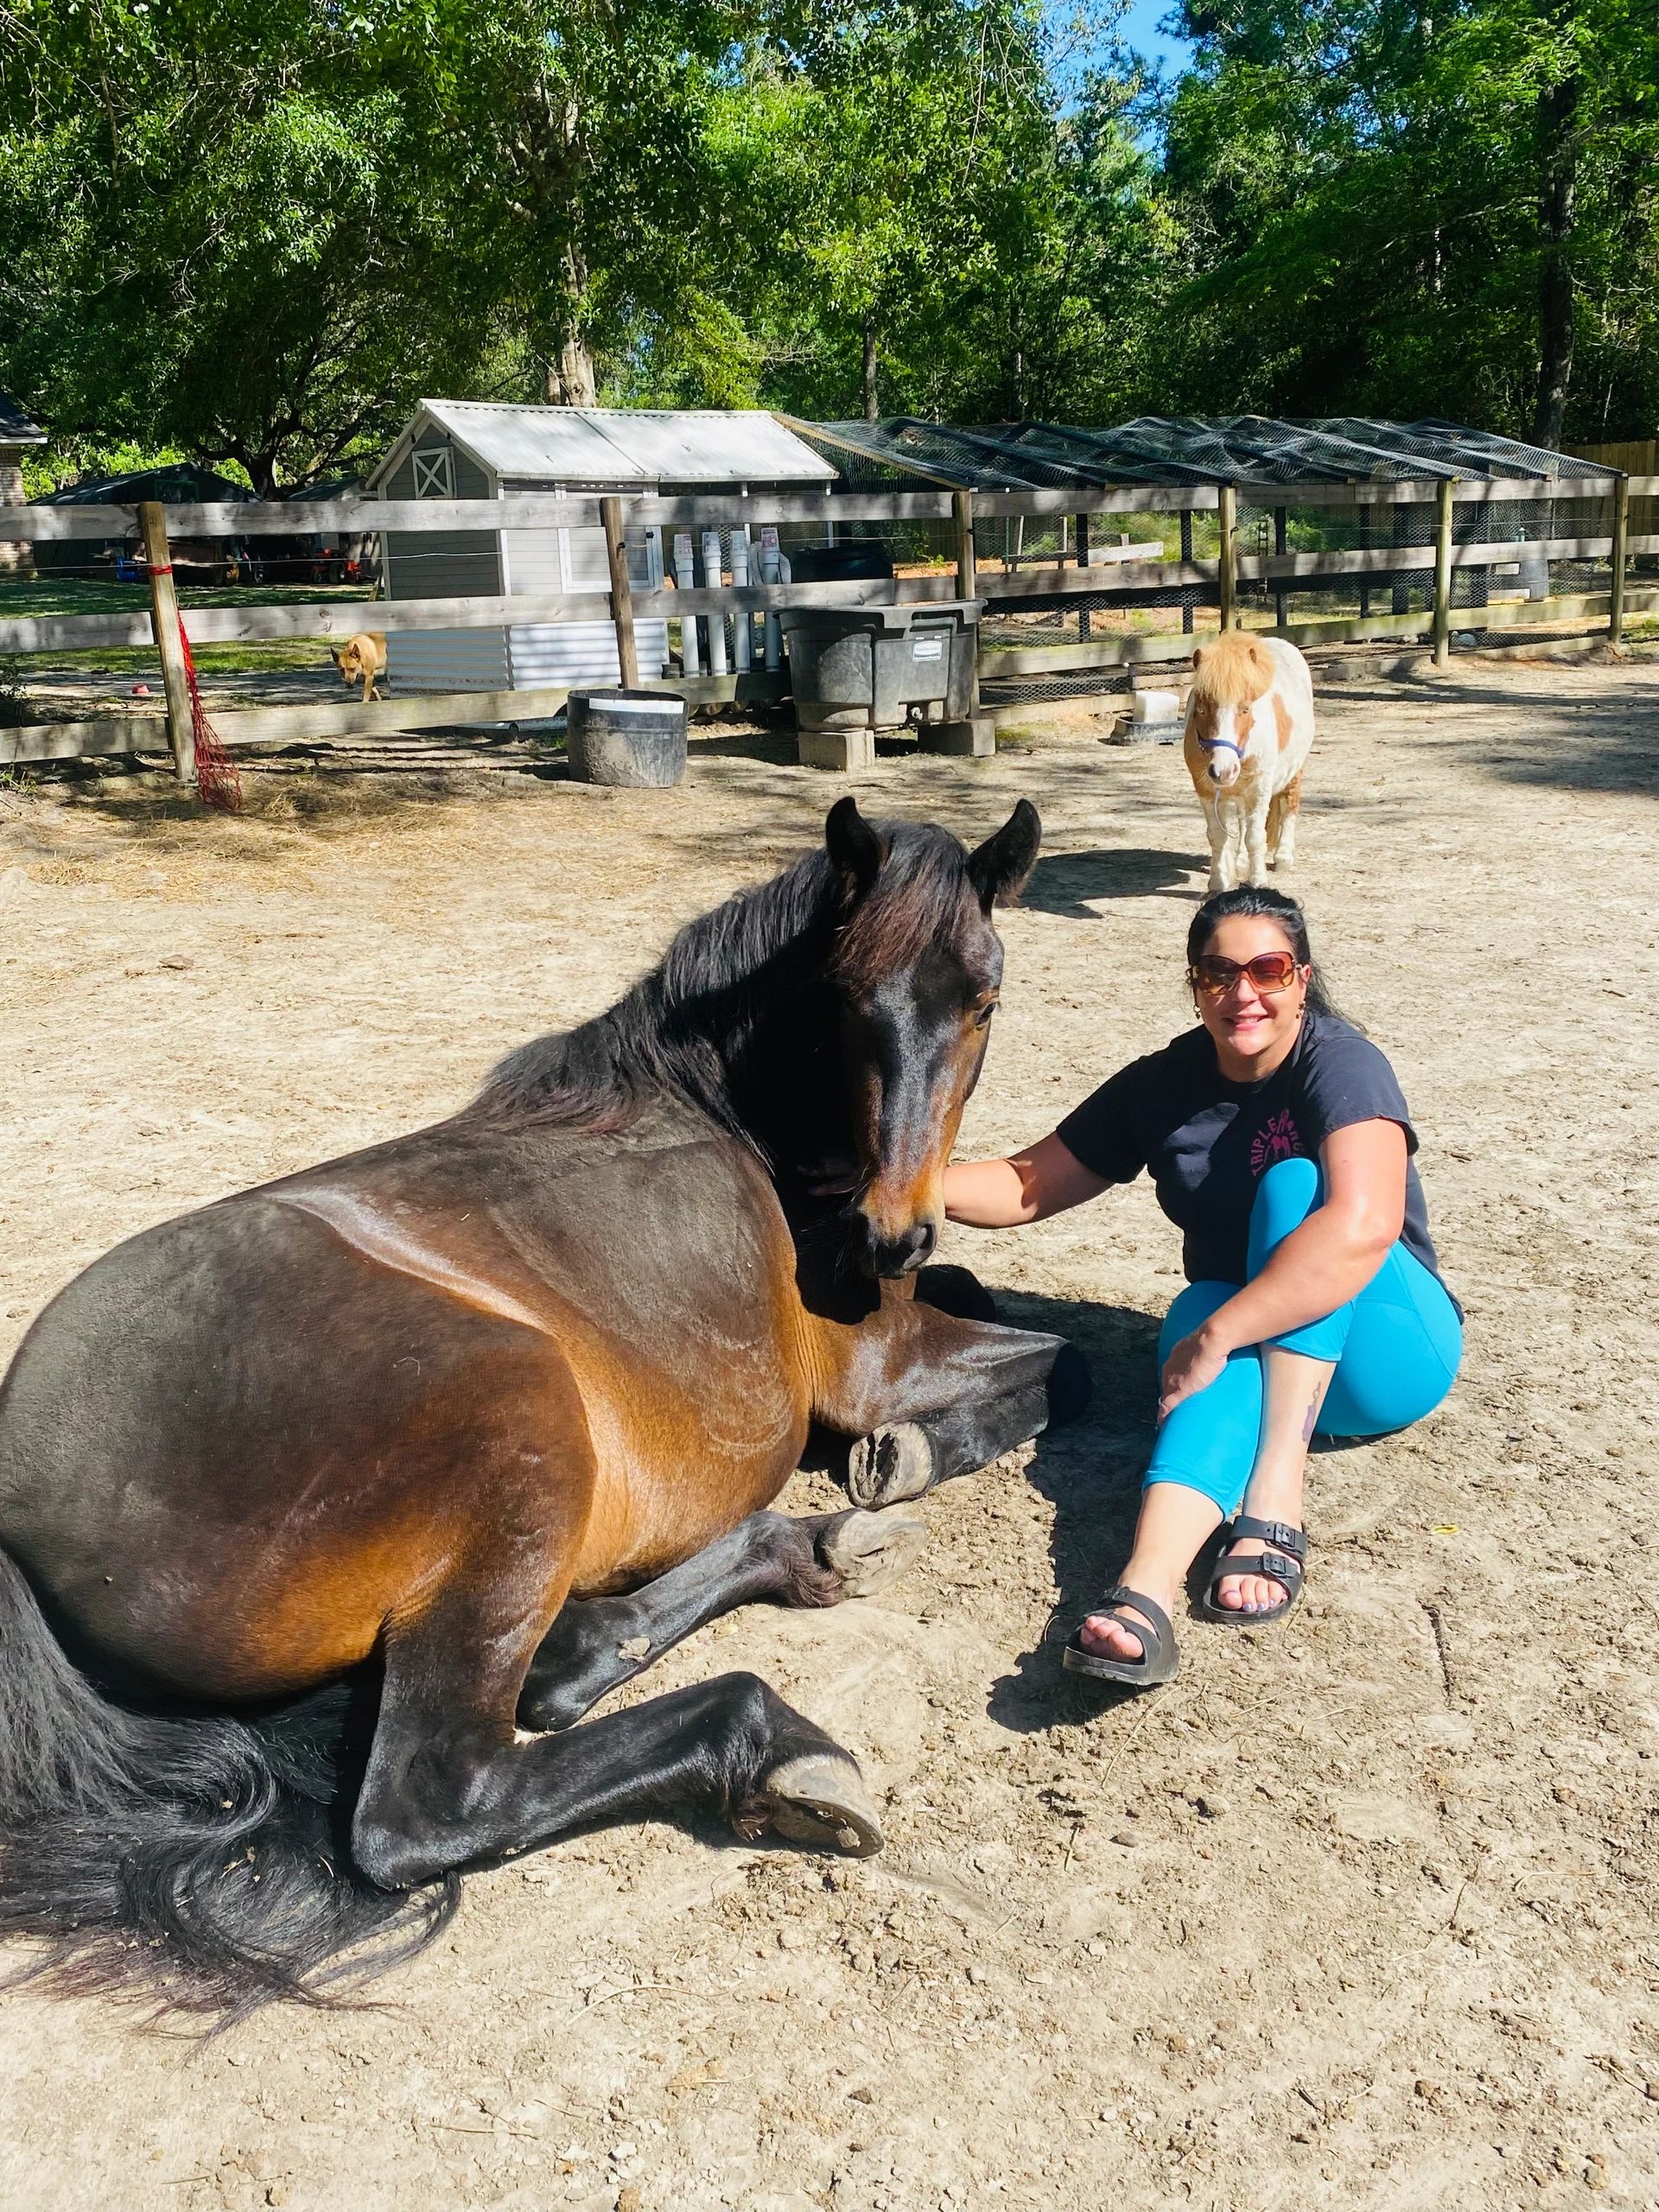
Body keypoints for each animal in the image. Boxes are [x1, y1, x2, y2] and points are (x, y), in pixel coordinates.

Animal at [0, 796, 1083, 2016]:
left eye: (984, 999)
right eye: (849, 999)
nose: (891, 1237)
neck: (728, 1113)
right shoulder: (884, 1363)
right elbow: (1071, 1362)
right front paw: (908, 1454)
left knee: (565, 1664)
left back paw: (803, 1553)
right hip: (522, 1416)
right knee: (438, 1803)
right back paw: (774, 1740)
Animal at [1182, 632, 1316, 891]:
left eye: (1245, 709)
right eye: (1201, 709)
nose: (1223, 771)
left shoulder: (1260, 787)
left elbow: (1256, 837)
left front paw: (1258, 881)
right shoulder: (1205, 789)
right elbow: (1218, 836)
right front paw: (1218, 882)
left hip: (1294, 772)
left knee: (1289, 805)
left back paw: (1283, 857)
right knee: (1243, 819)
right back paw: (1241, 861)